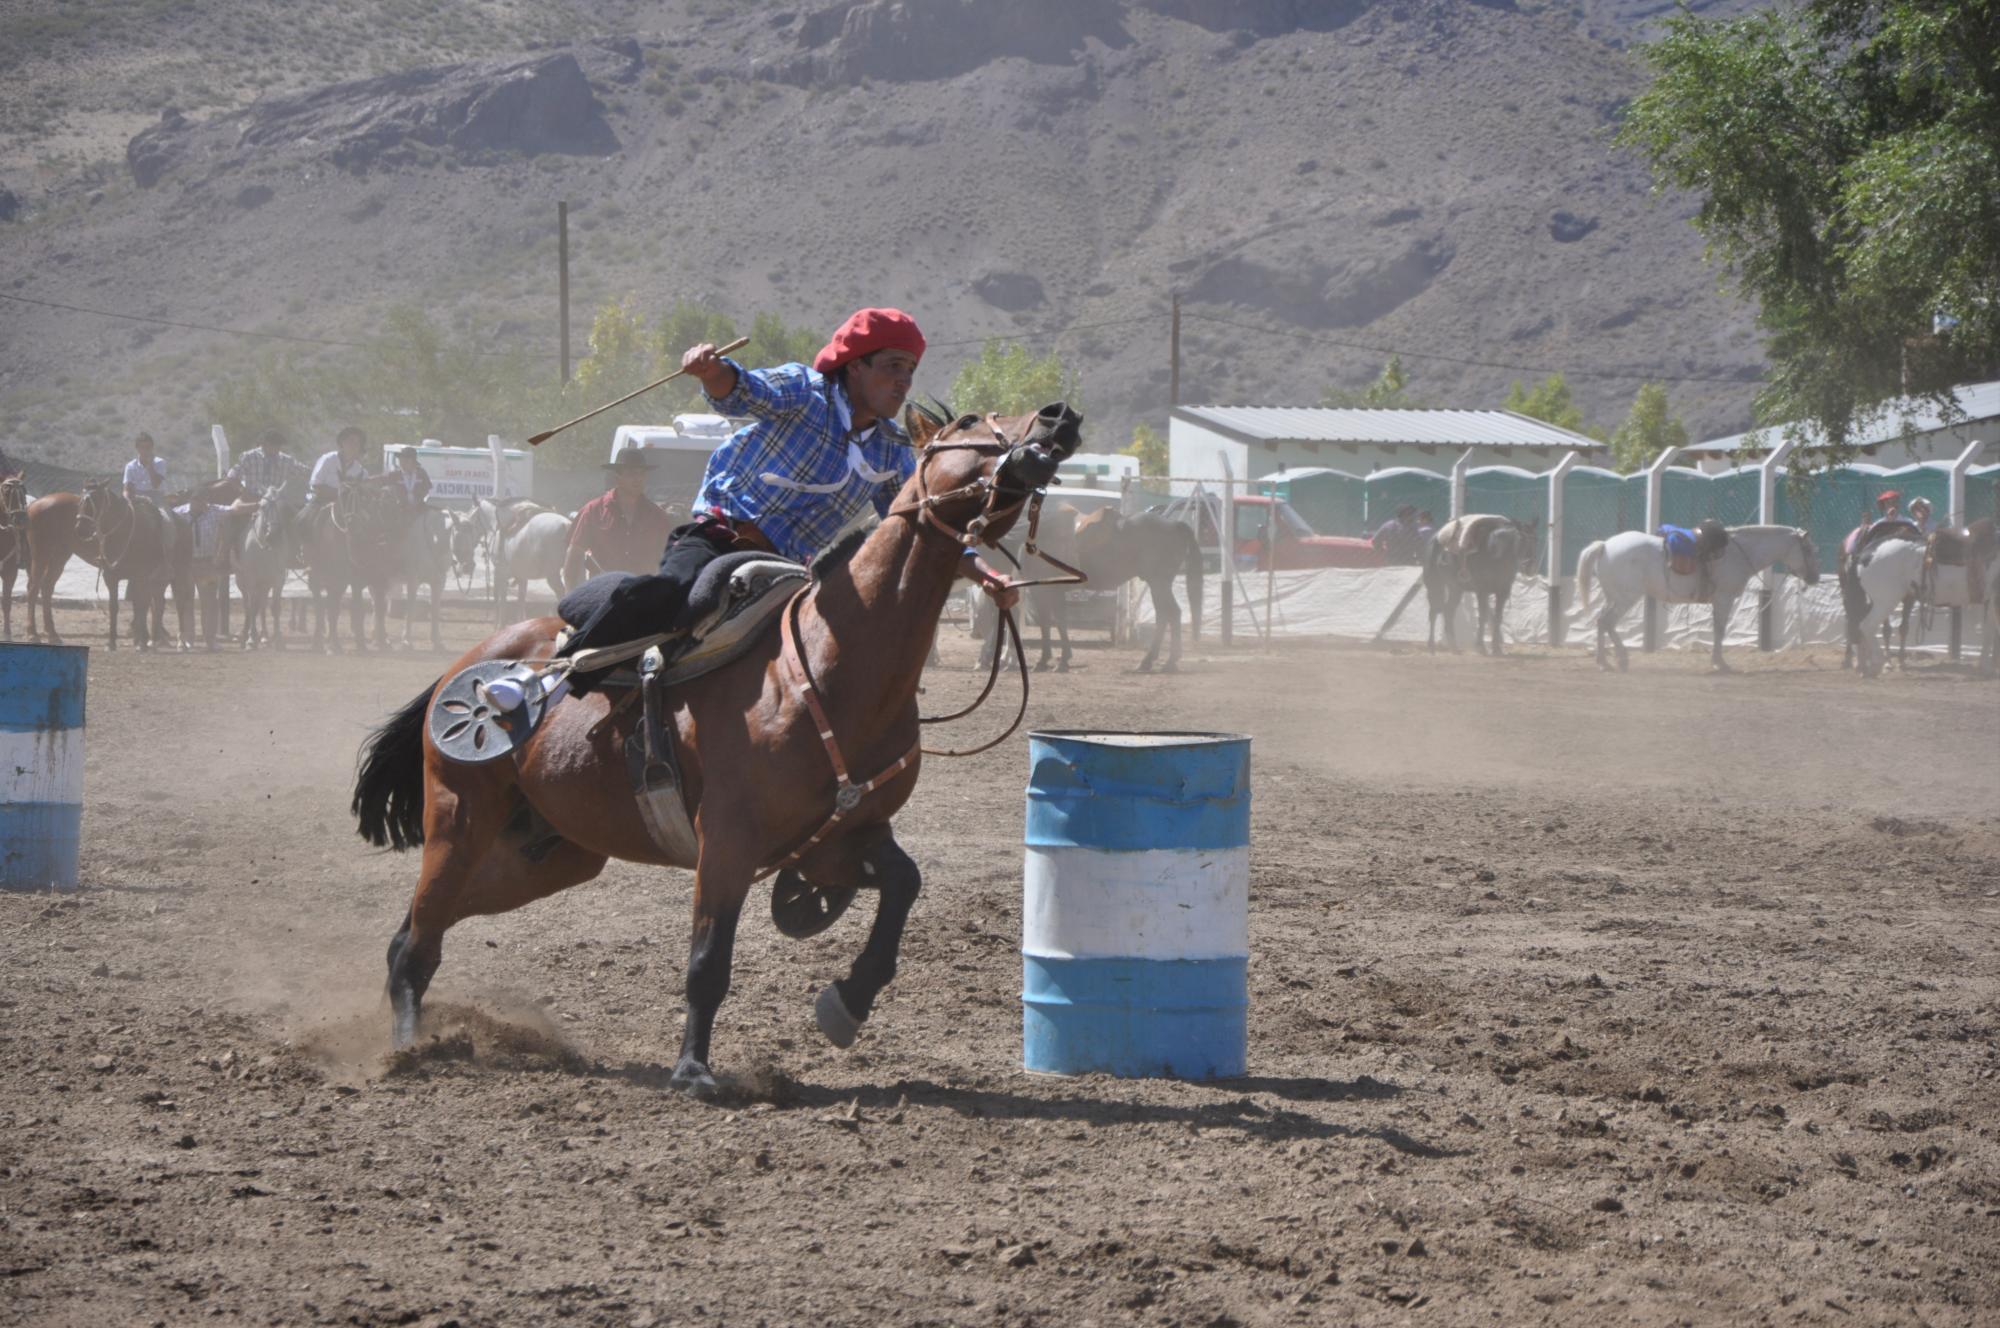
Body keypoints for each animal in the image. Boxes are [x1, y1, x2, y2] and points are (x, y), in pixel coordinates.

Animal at [351, 404, 1081, 1097]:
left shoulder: (841, 836)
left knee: (420, 927)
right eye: (971, 421)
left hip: (554, 853)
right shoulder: (728, 840)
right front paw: (693, 1071)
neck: (832, 662)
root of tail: (467, 663)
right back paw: (412, 1047)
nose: (1058, 418)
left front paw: (846, 1003)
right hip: (461, 817)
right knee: (421, 936)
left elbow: (904, 884)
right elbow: (708, 962)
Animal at [1070, 508, 1204, 672]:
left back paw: (1165, 661)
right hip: (1158, 585)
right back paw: (1153, 660)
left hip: (1159, 583)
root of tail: (1174, 525)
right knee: (1164, 614)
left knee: (1171, 613)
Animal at [1421, 515, 1540, 656]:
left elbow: (1498, 618)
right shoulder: (1482, 591)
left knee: (1448, 611)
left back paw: (1454, 647)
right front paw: (1481, 647)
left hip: (1456, 589)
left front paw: (1496, 649)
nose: (1530, 567)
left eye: (1536, 539)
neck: (1496, 553)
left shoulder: (1503, 592)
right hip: (1434, 585)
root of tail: (1435, 540)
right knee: (1433, 612)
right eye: (1521, 539)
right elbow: (1482, 617)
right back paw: (1431, 646)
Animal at [1575, 524, 1820, 673]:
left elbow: (1717, 629)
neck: (1737, 554)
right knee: (1607, 622)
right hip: (1626, 598)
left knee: (1601, 622)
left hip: (1614, 598)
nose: (1815, 577)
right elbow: (1719, 630)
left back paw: (1604, 662)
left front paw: (1718, 661)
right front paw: (1720, 663)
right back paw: (1620, 660)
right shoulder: (1723, 599)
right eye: (1808, 549)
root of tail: (1605, 546)